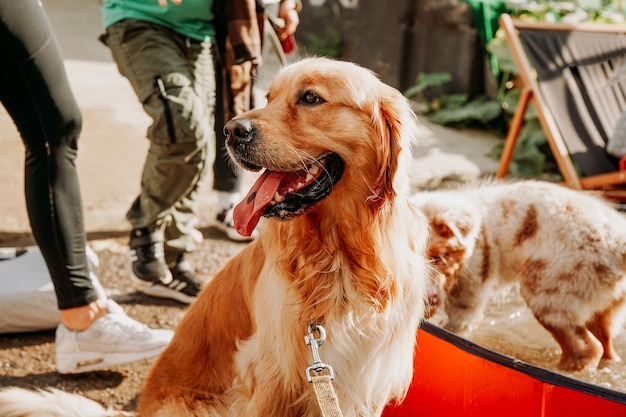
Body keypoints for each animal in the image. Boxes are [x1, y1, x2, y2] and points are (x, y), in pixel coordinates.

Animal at [0, 57, 428, 416]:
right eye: (268, 97)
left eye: (310, 98)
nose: (231, 129)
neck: (338, 254)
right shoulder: (273, 378)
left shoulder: (361, 384)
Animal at [412, 179, 624, 370]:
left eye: (438, 257)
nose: (429, 300)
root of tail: (618, 244)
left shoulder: (468, 301)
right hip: (598, 307)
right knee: (606, 348)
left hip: (549, 295)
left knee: (586, 349)